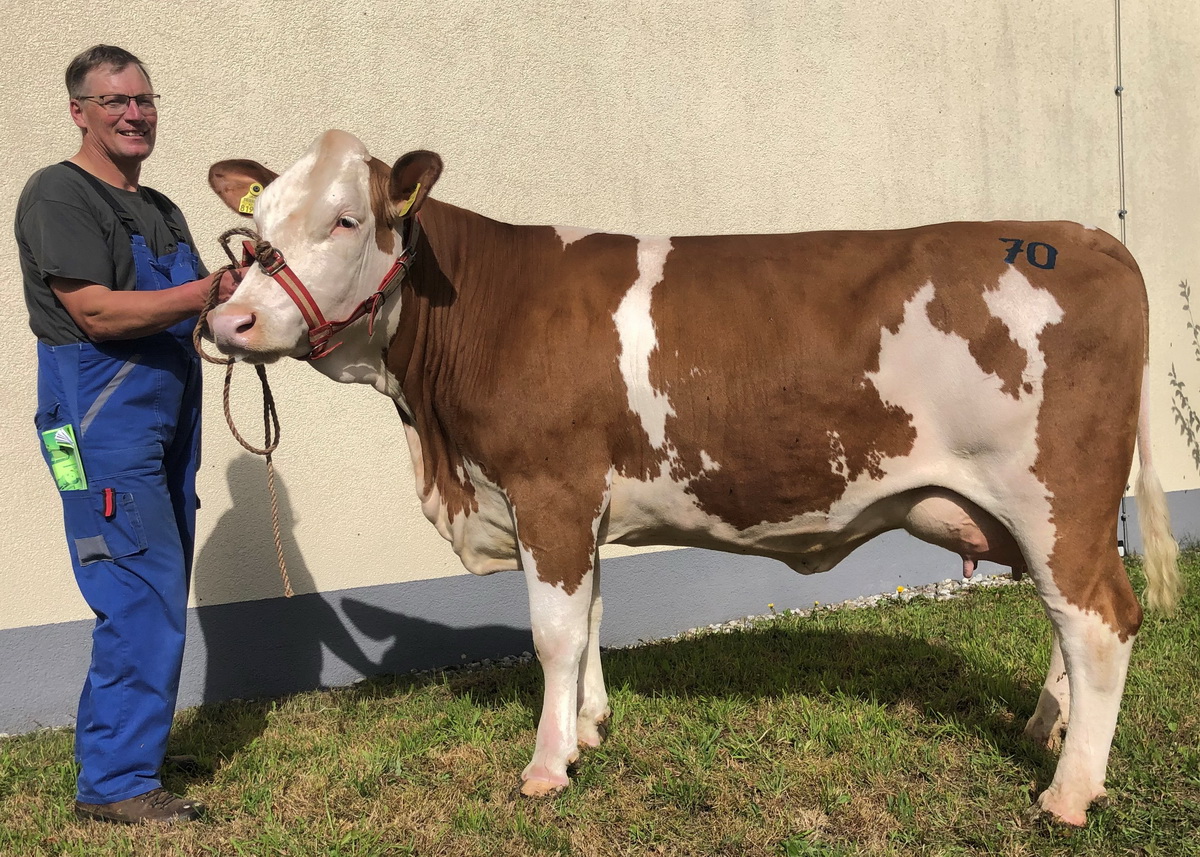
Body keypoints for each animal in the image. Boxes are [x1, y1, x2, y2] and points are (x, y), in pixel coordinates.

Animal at [206, 130, 1180, 825]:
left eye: (345, 219)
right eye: (255, 232)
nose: (231, 319)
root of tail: (1079, 234)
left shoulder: (548, 487)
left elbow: (553, 634)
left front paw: (546, 765)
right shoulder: (579, 504)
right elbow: (593, 616)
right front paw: (590, 728)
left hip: (1056, 495)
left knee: (1099, 621)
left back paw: (1068, 793)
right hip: (1043, 513)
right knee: (1065, 620)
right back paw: (1046, 727)